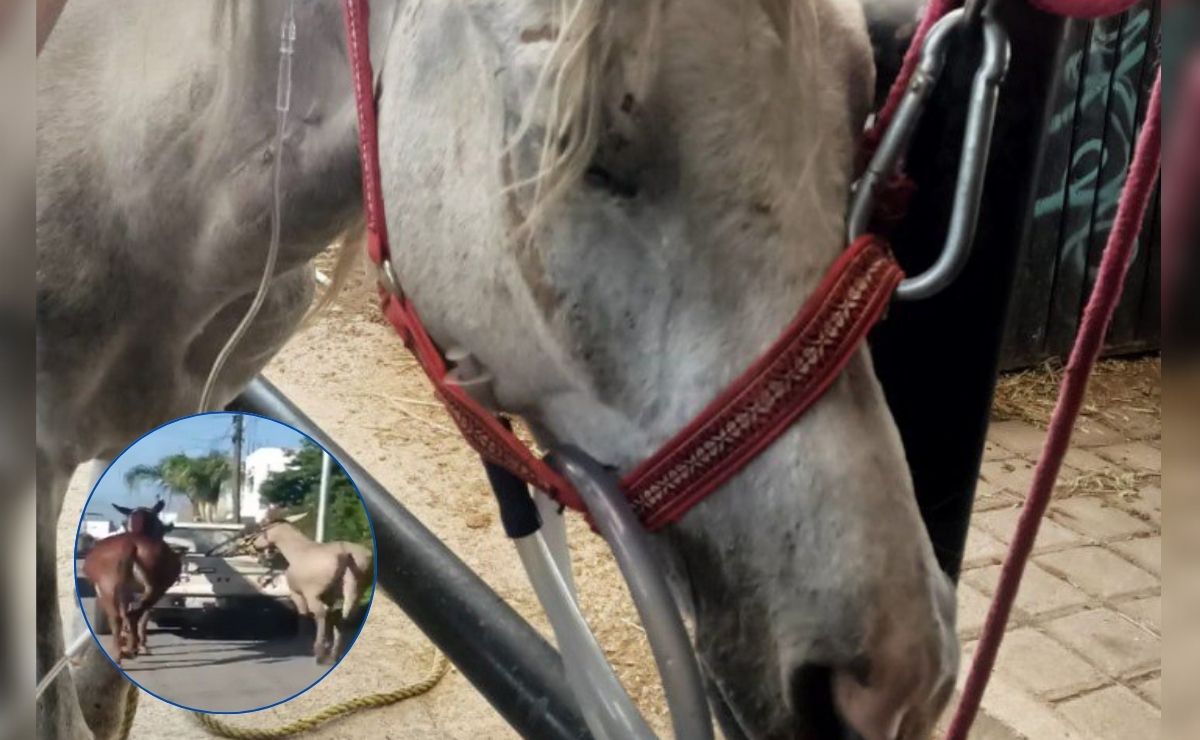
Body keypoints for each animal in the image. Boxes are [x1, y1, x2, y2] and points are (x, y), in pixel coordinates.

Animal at [80, 501, 182, 666]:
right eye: (159, 524)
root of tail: (130, 544)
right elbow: (142, 615)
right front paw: (141, 644)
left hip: (108, 588)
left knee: (118, 617)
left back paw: (121, 652)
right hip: (154, 589)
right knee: (132, 614)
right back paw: (130, 648)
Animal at [251, 508, 373, 665]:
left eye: (263, 528)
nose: (255, 544)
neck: (294, 550)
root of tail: (347, 554)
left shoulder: (297, 593)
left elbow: (304, 615)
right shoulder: (329, 596)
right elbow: (330, 616)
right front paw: (327, 643)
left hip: (313, 593)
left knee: (321, 613)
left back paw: (320, 652)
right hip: (356, 590)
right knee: (344, 616)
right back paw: (334, 653)